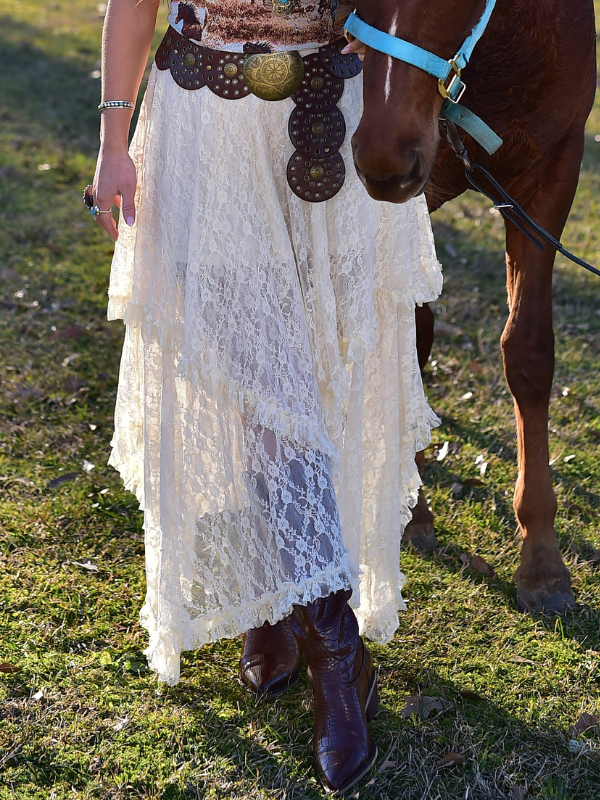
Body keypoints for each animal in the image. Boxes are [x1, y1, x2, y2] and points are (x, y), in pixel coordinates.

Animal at [352, 0, 596, 612]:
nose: (382, 159)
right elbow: (411, 336)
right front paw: (412, 510)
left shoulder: (551, 177)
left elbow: (529, 353)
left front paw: (542, 562)